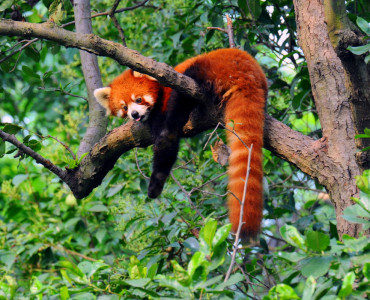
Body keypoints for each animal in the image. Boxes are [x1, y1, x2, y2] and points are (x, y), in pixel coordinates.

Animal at [93, 48, 266, 238]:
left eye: (138, 100)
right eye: (124, 107)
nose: (135, 114)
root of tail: (247, 71)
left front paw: (155, 186)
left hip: (200, 75)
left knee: (172, 123)